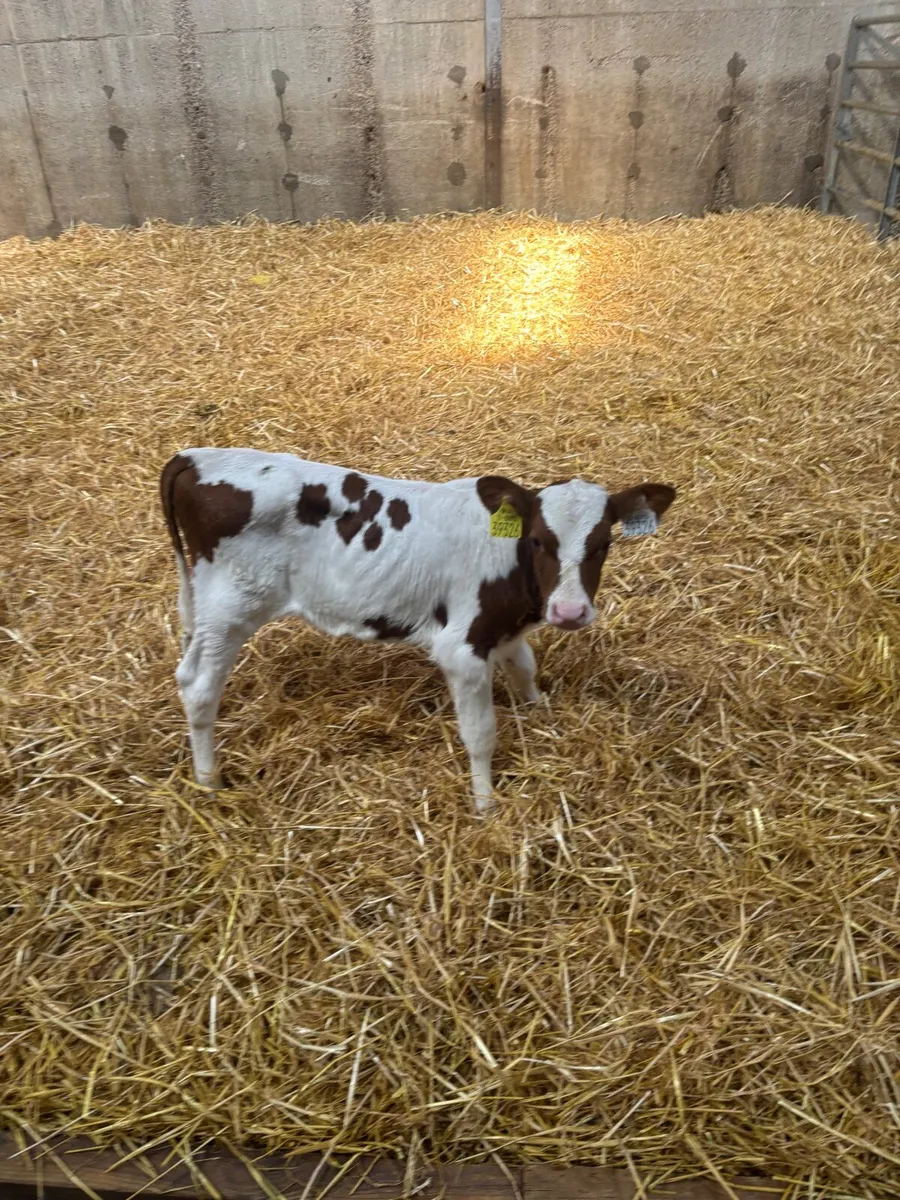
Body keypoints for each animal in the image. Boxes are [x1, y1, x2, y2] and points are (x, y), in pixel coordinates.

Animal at [160, 448, 675, 812]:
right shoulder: (461, 648)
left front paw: (540, 711)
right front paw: (485, 802)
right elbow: (481, 732)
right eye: (536, 540)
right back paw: (209, 781)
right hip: (232, 606)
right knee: (199, 685)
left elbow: (525, 670)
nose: (569, 612)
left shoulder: (503, 629)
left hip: (203, 605)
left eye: (603, 544)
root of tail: (195, 456)